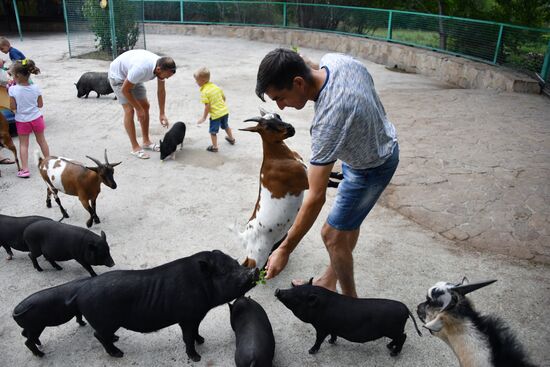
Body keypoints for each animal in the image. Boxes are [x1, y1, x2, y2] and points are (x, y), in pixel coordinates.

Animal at [74, 250, 260, 362]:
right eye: (225, 272)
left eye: (236, 263)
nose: (255, 270)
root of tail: (81, 292)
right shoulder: (186, 318)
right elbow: (187, 337)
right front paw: (196, 358)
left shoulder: (197, 315)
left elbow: (196, 331)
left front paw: (202, 340)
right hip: (105, 321)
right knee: (98, 335)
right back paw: (118, 354)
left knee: (104, 336)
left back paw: (116, 339)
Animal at [276, 282, 422, 356]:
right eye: (293, 288)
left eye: (297, 297)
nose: (278, 290)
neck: (319, 307)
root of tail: (405, 308)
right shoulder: (332, 327)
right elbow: (333, 335)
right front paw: (331, 341)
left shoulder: (322, 327)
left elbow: (318, 340)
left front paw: (311, 351)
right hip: (393, 330)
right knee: (399, 337)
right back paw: (389, 346)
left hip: (394, 330)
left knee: (403, 337)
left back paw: (393, 353)